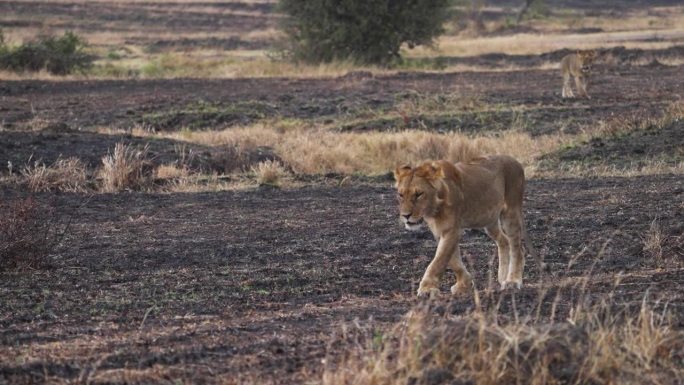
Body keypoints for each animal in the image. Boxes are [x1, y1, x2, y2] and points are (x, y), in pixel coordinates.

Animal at [392, 154, 532, 296]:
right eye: (400, 194)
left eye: (419, 194)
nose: (405, 216)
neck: (434, 209)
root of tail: (515, 161)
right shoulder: (440, 231)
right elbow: (453, 261)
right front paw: (464, 284)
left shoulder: (452, 230)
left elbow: (439, 260)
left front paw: (427, 288)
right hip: (489, 220)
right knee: (504, 240)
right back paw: (503, 276)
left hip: (510, 212)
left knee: (516, 247)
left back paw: (512, 280)